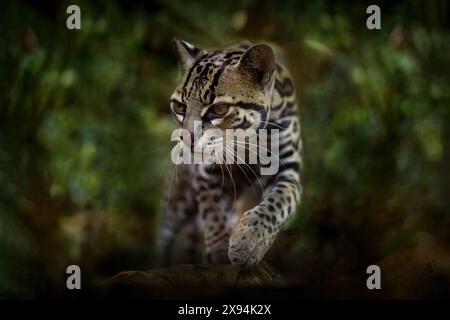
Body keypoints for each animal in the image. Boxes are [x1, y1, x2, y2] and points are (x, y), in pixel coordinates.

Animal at [158, 38, 302, 266]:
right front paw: (219, 252)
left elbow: (276, 205)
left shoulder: (288, 170)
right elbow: (213, 213)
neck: (248, 141)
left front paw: (249, 243)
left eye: (218, 110)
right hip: (177, 200)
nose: (186, 139)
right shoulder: (208, 173)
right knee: (166, 237)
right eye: (179, 106)